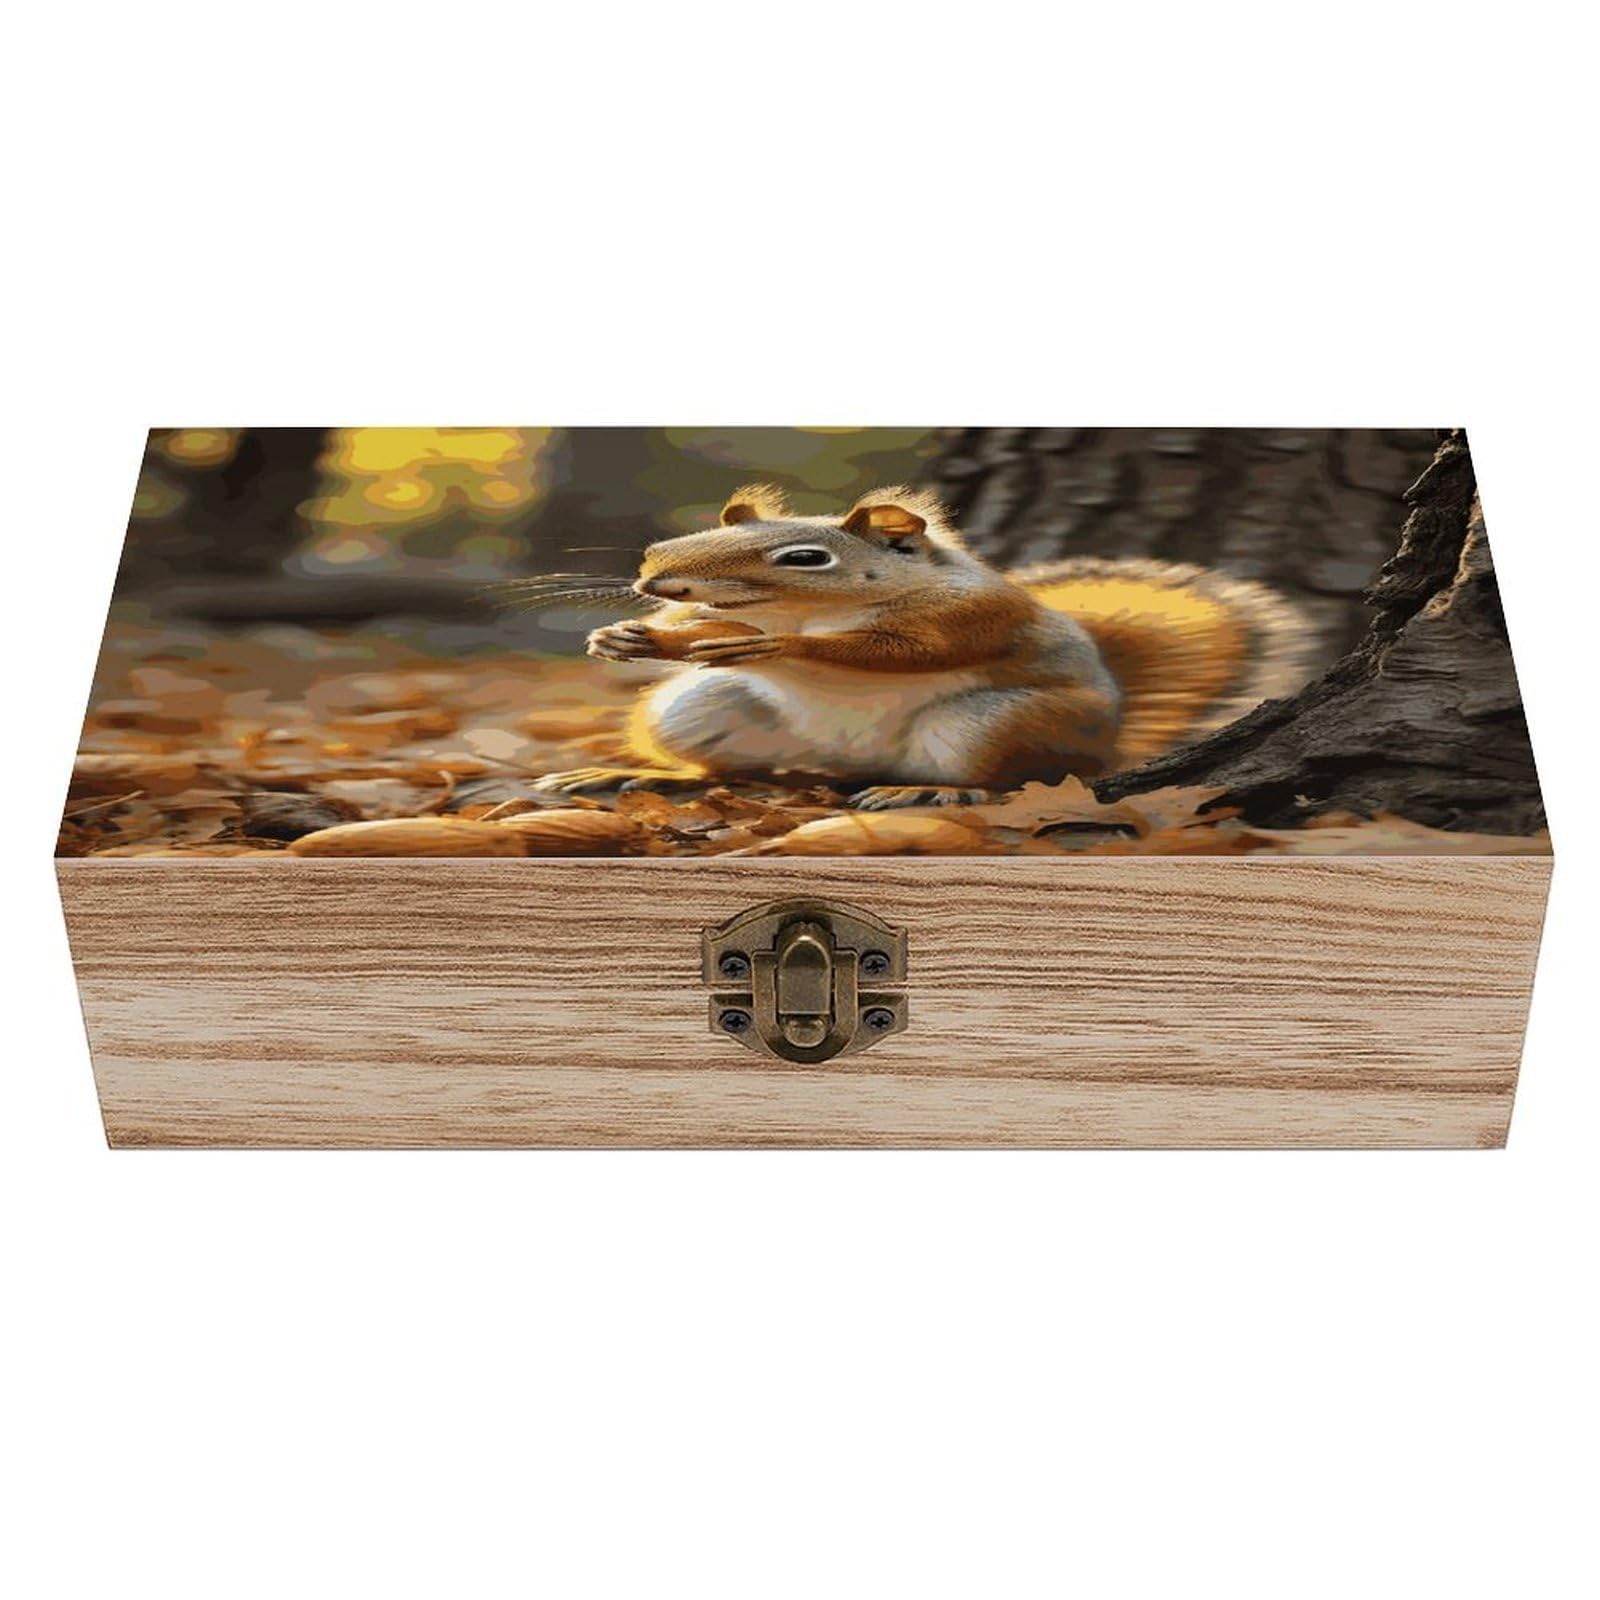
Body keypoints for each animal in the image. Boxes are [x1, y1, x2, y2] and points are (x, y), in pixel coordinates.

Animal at [535, 484, 1317, 809]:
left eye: (805, 558)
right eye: (683, 540)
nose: (654, 581)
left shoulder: (972, 616)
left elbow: (892, 650)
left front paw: (782, 646)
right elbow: (711, 632)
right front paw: (631, 636)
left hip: (993, 722)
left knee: (1015, 779)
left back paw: (931, 788)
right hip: (702, 709)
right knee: (733, 769)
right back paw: (644, 776)